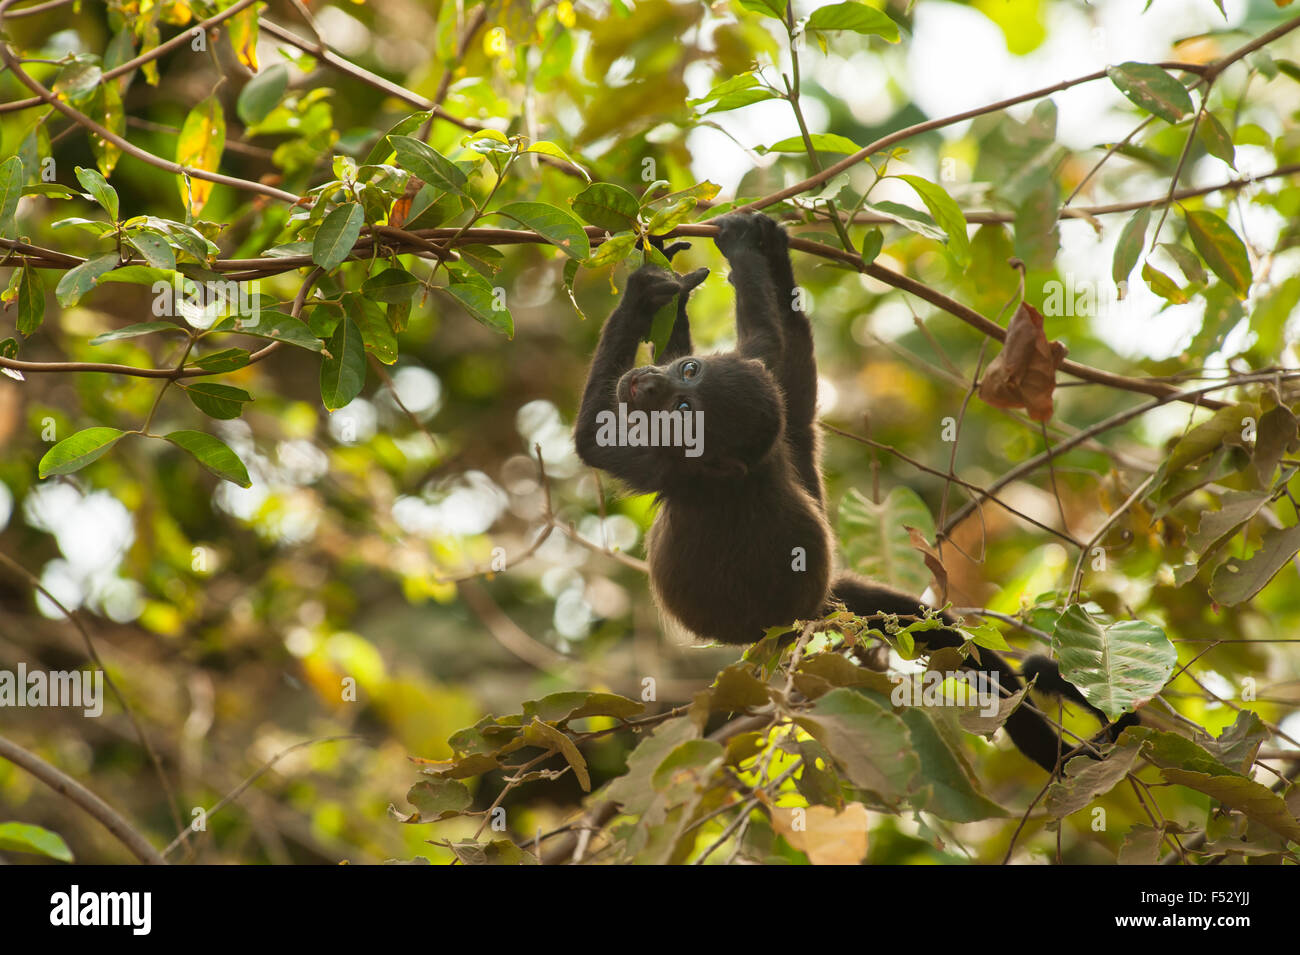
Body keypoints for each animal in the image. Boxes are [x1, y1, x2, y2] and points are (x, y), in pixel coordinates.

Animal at [574, 212, 1134, 773]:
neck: (735, 469)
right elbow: (775, 359)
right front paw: (736, 260)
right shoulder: (765, 400)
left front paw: (644, 296)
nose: (645, 384)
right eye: (688, 371)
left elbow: (593, 440)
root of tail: (814, 608)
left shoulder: (663, 465)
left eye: (685, 410)